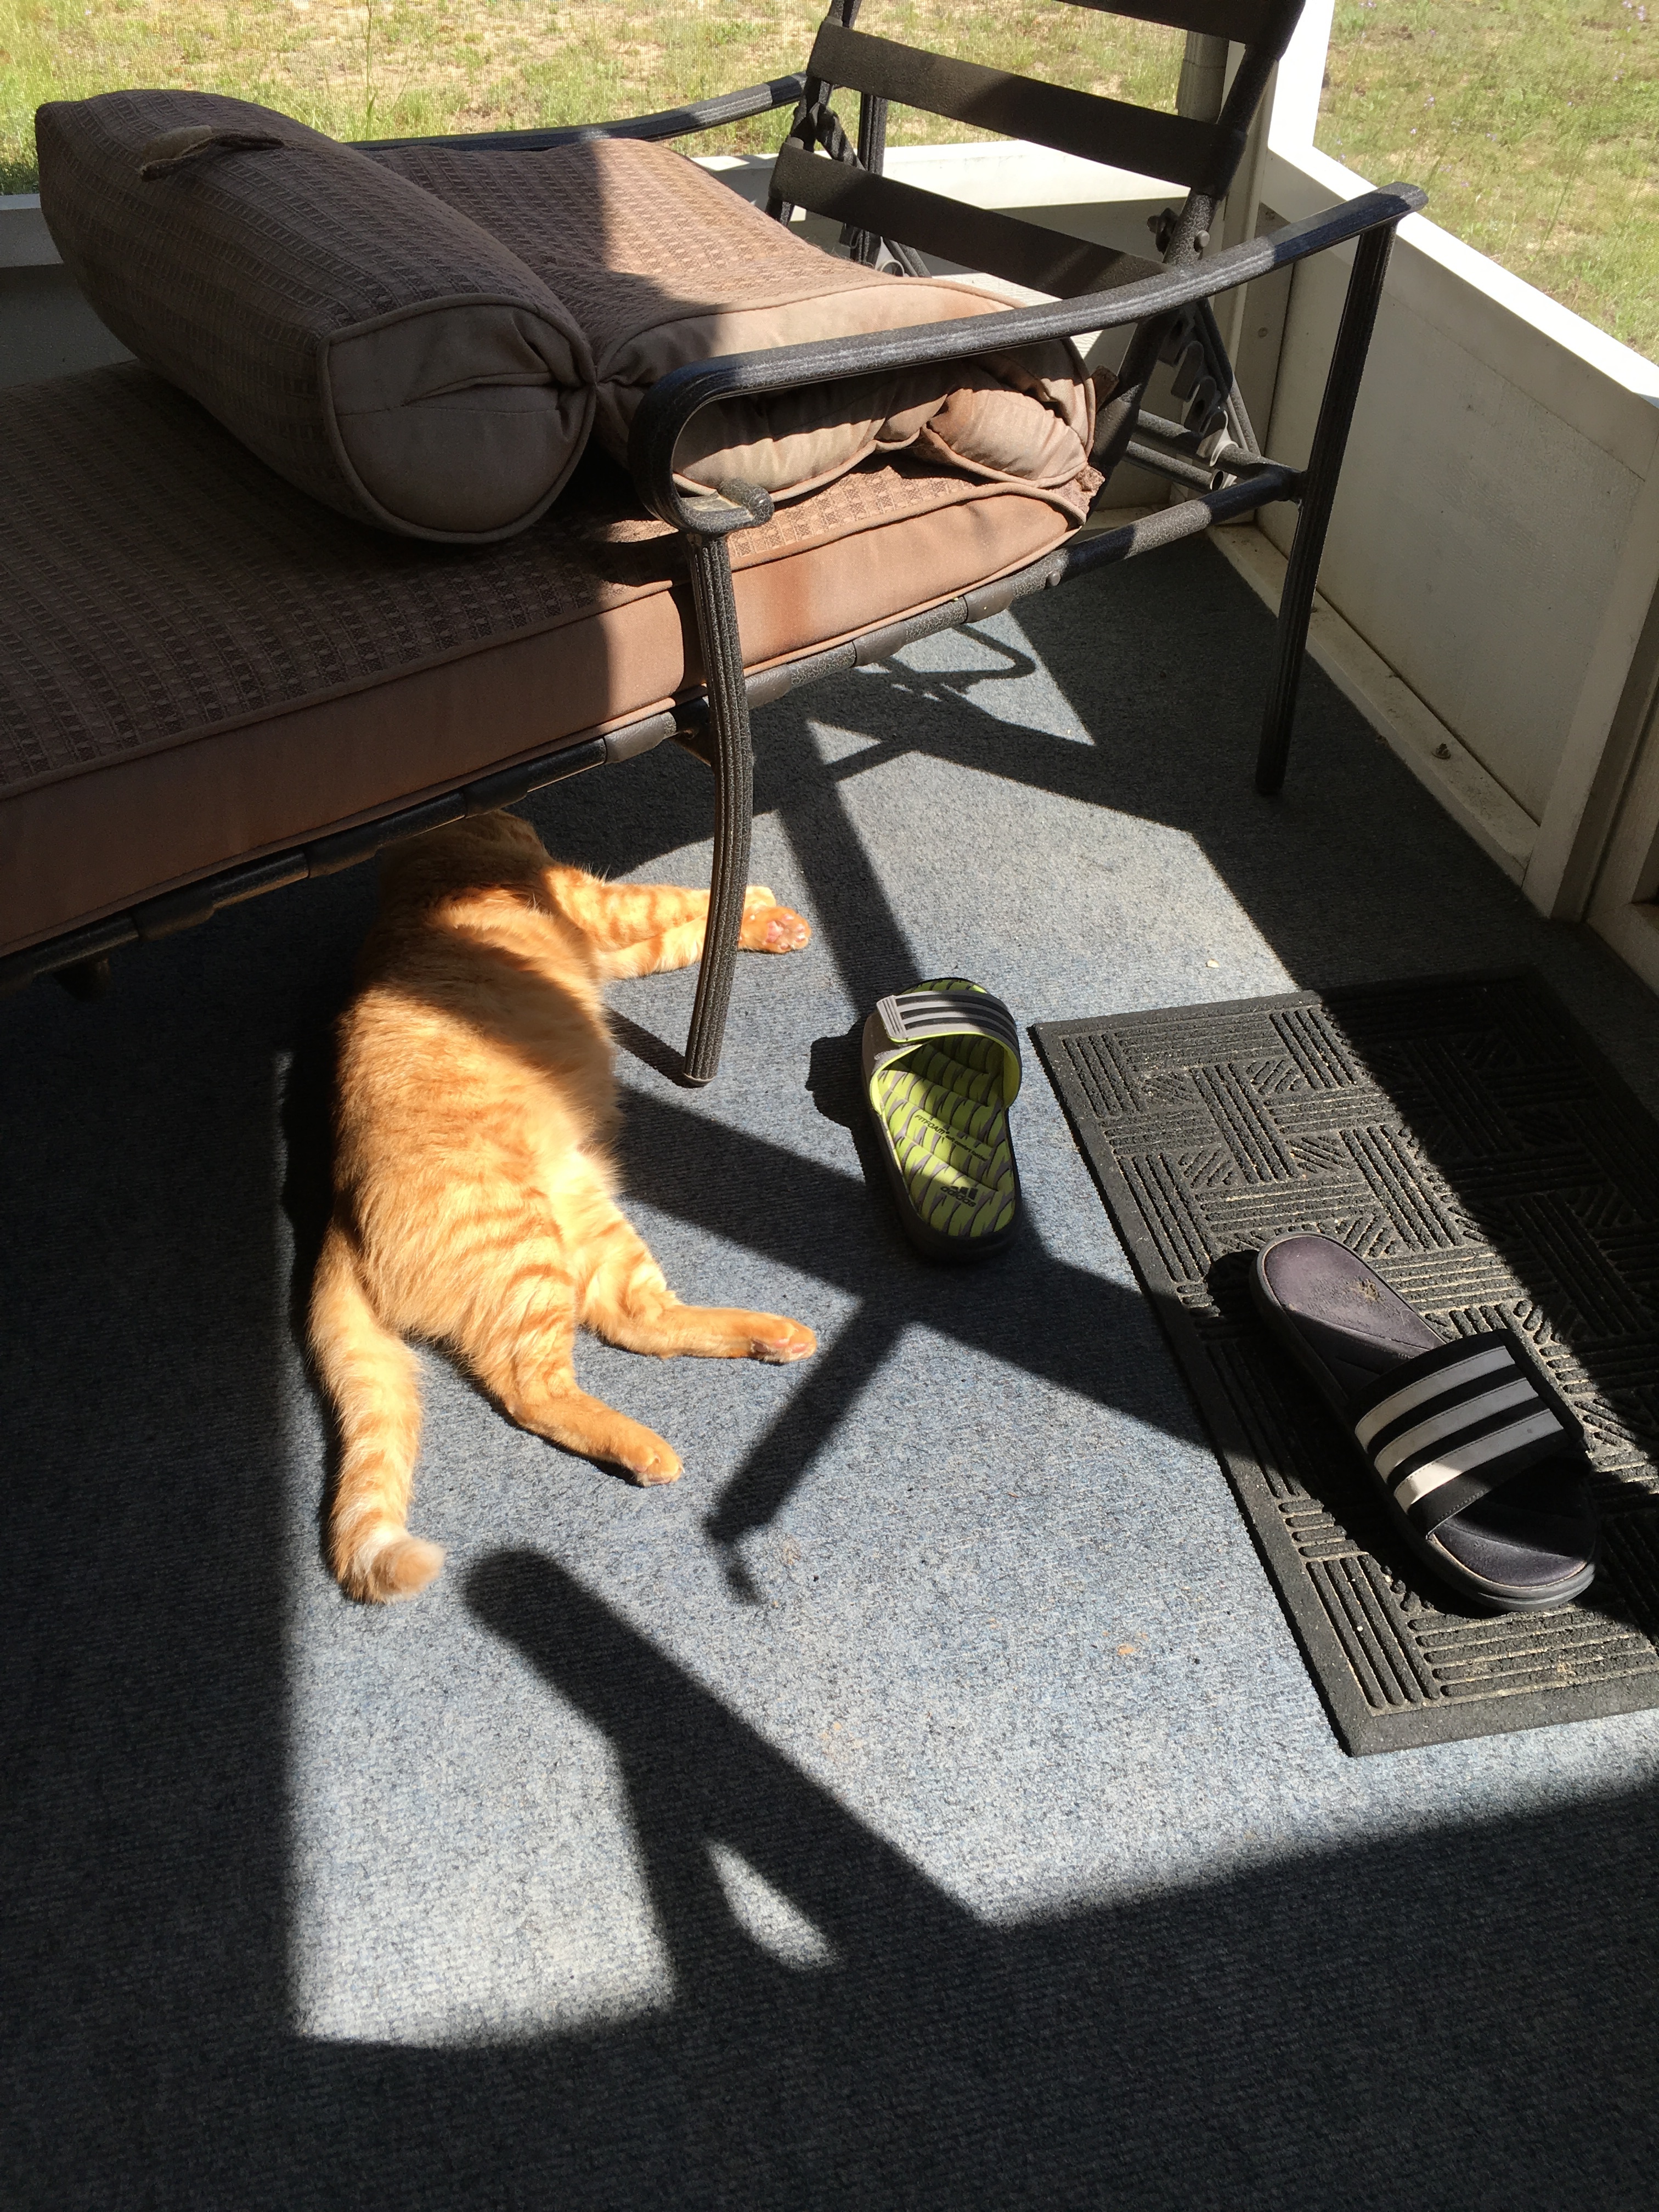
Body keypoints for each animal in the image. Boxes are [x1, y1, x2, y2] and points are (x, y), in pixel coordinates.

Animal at [308, 809, 816, 1604]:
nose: (519, 821)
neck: (428, 869)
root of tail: (340, 1216)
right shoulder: (600, 906)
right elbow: (686, 899)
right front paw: (759, 898)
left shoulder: (610, 949)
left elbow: (688, 932)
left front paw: (768, 924)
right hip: (526, 1251)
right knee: (533, 1387)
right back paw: (647, 1448)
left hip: (587, 1215)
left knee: (640, 1321)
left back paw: (772, 1338)